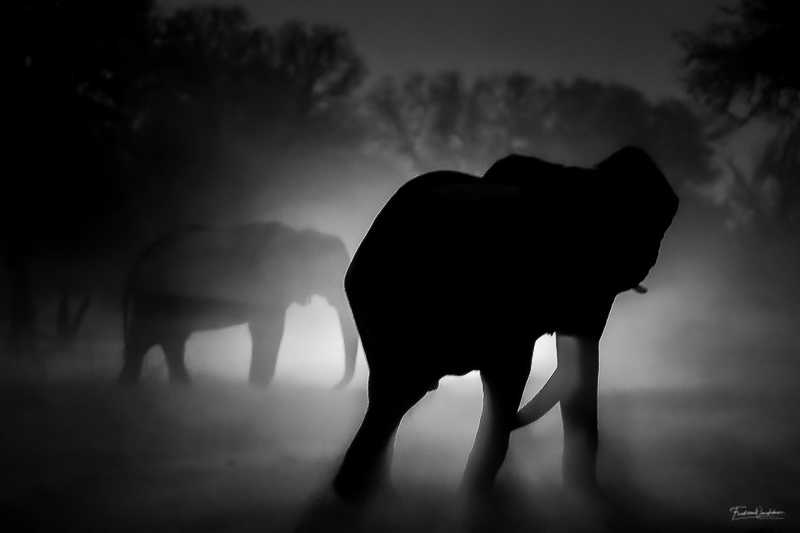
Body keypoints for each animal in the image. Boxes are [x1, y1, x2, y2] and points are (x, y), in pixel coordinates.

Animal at [117, 221, 358, 388]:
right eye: (330, 275)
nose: (333, 387)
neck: (299, 235)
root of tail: (140, 258)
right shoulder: (264, 287)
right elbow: (268, 330)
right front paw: (257, 388)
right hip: (155, 296)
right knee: (147, 338)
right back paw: (130, 388)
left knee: (170, 339)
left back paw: (181, 387)